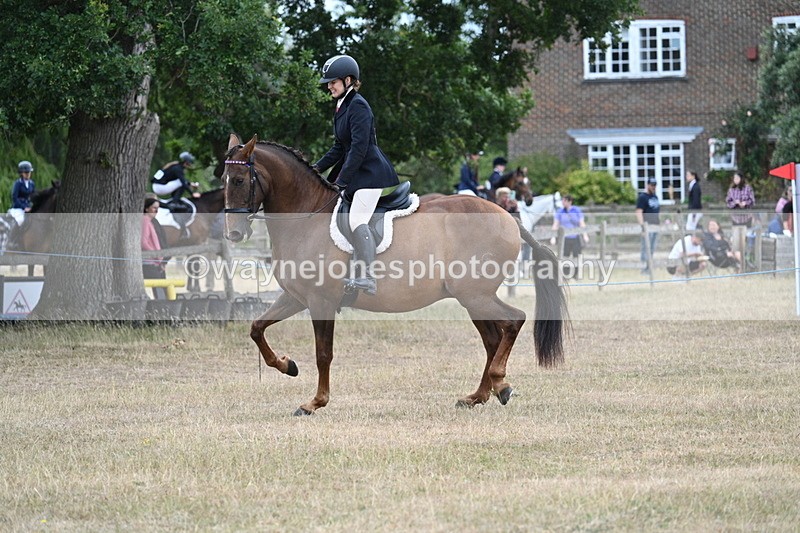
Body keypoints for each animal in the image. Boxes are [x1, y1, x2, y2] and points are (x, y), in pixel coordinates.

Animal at [222, 134, 567, 416]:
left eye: (238, 180)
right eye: (224, 179)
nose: (234, 234)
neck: (305, 217)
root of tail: (507, 216)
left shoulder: (321, 301)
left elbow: (323, 353)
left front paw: (315, 402)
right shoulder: (296, 297)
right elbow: (257, 328)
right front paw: (287, 366)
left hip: (476, 295)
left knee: (513, 321)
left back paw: (501, 385)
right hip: (473, 299)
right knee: (492, 339)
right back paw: (478, 396)